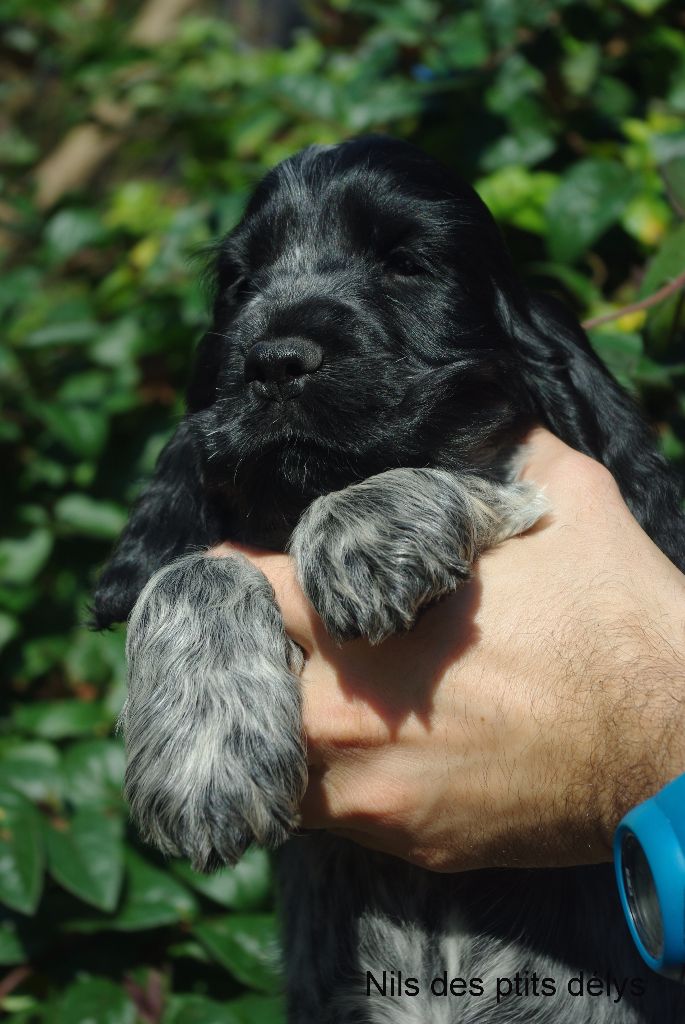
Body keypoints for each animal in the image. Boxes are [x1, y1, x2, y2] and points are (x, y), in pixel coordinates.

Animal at [94, 138, 683, 1024]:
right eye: (239, 285)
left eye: (407, 263)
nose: (273, 360)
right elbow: (187, 570)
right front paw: (202, 762)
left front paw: (359, 527)